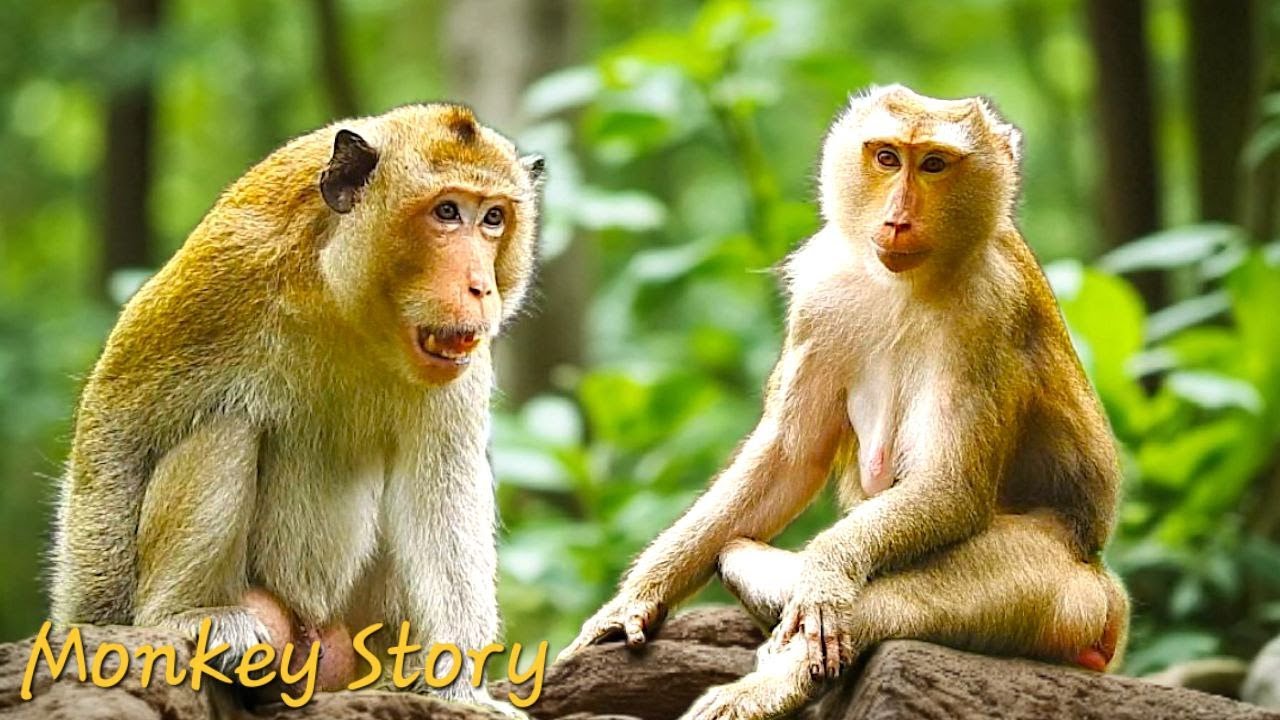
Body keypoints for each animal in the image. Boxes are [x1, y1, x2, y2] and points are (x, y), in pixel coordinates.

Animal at [48, 103, 544, 714]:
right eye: (447, 212)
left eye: (493, 218)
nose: (480, 288)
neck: (347, 300)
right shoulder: (226, 268)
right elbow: (117, 431)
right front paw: (95, 629)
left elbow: (441, 486)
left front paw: (458, 686)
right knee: (226, 429)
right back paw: (186, 615)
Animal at [560, 85, 1129, 720]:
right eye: (886, 157)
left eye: (934, 164)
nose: (898, 218)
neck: (906, 282)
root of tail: (1109, 600)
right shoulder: (820, 293)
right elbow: (791, 457)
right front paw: (636, 599)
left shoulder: (991, 310)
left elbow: (948, 487)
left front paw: (827, 573)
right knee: (737, 548)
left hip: (1067, 594)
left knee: (916, 598)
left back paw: (771, 682)